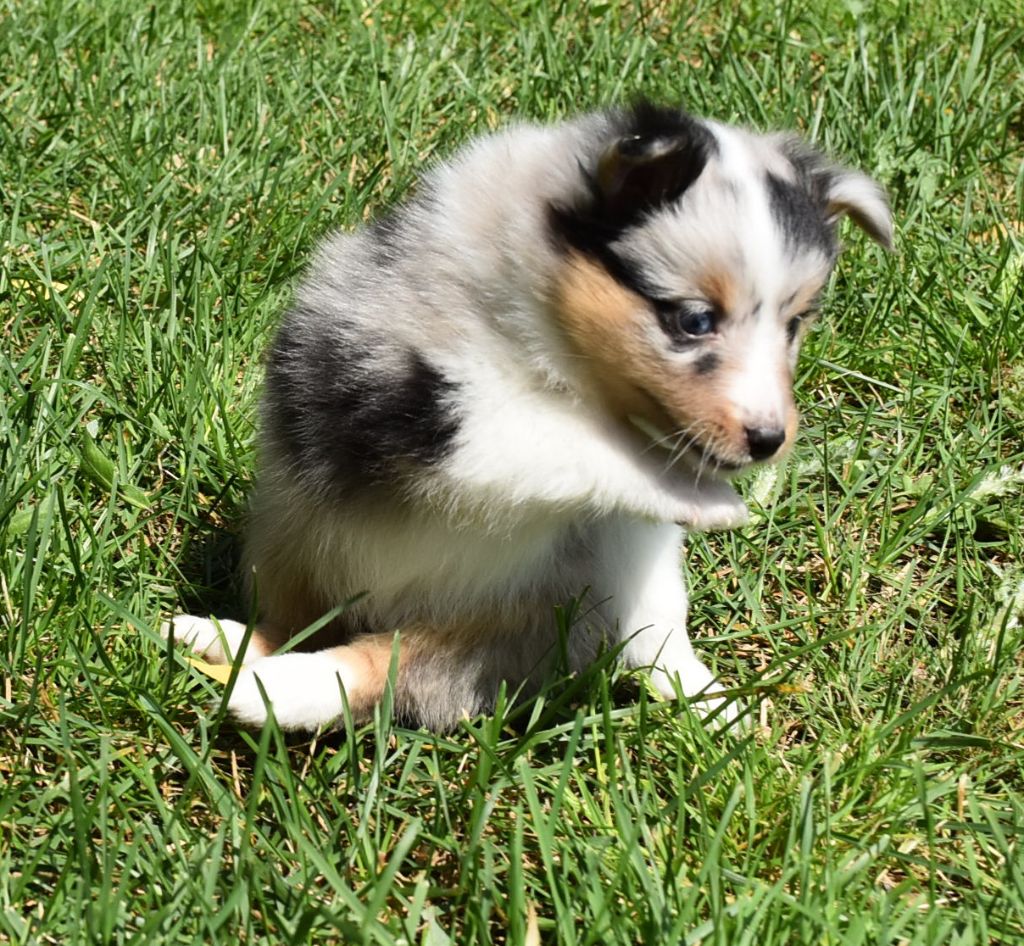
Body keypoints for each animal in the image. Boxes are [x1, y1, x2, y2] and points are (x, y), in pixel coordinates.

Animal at [163, 101, 892, 733]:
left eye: (795, 325)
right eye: (693, 320)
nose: (769, 441)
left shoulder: (617, 534)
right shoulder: (430, 403)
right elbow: (559, 439)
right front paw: (711, 500)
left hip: (531, 619)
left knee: (397, 660)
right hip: (293, 540)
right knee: (292, 626)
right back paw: (226, 645)